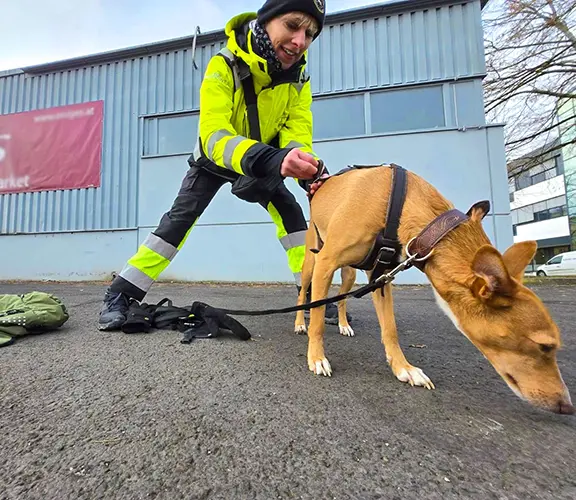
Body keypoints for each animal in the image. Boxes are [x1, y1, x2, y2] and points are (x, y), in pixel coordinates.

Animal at [294, 164, 572, 414]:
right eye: (544, 346)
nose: (567, 406)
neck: (397, 202)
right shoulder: (326, 264)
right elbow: (317, 320)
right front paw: (316, 357)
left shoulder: (381, 277)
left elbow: (390, 329)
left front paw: (404, 368)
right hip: (312, 263)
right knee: (302, 293)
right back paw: (299, 324)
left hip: (350, 273)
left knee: (342, 298)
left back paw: (343, 324)